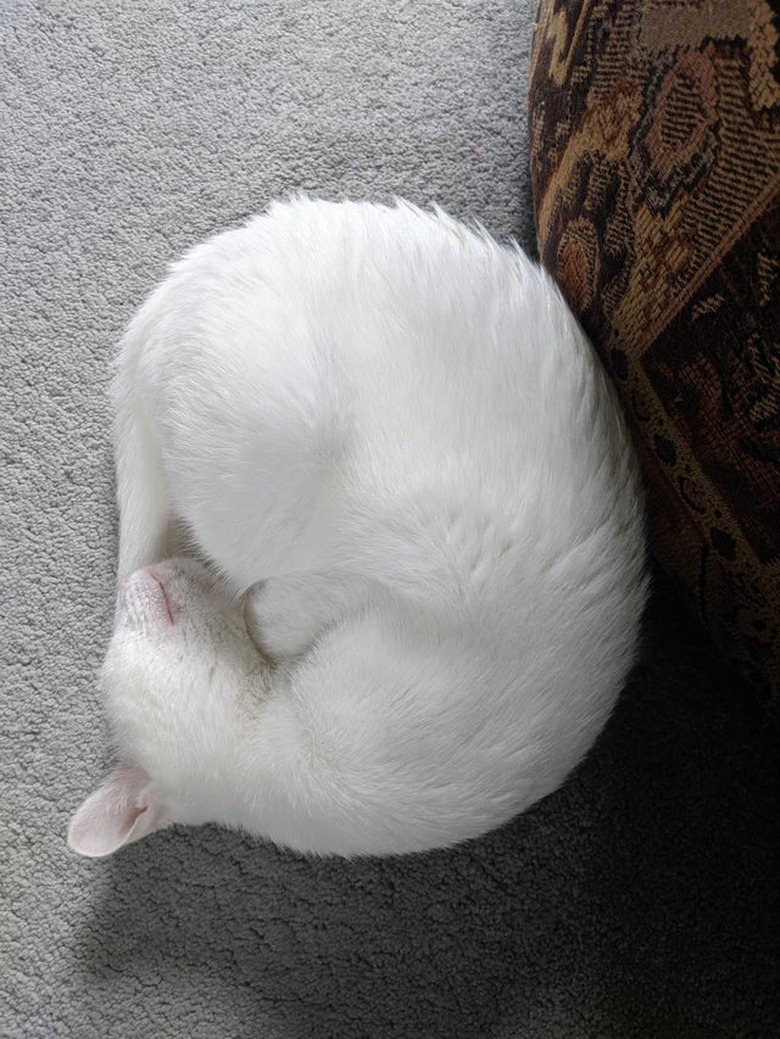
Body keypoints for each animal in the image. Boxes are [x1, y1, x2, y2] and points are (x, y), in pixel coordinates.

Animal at [68, 195, 648, 860]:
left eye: (151, 607)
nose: (137, 582)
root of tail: (172, 290)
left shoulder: (407, 581)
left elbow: (279, 607)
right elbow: (278, 608)